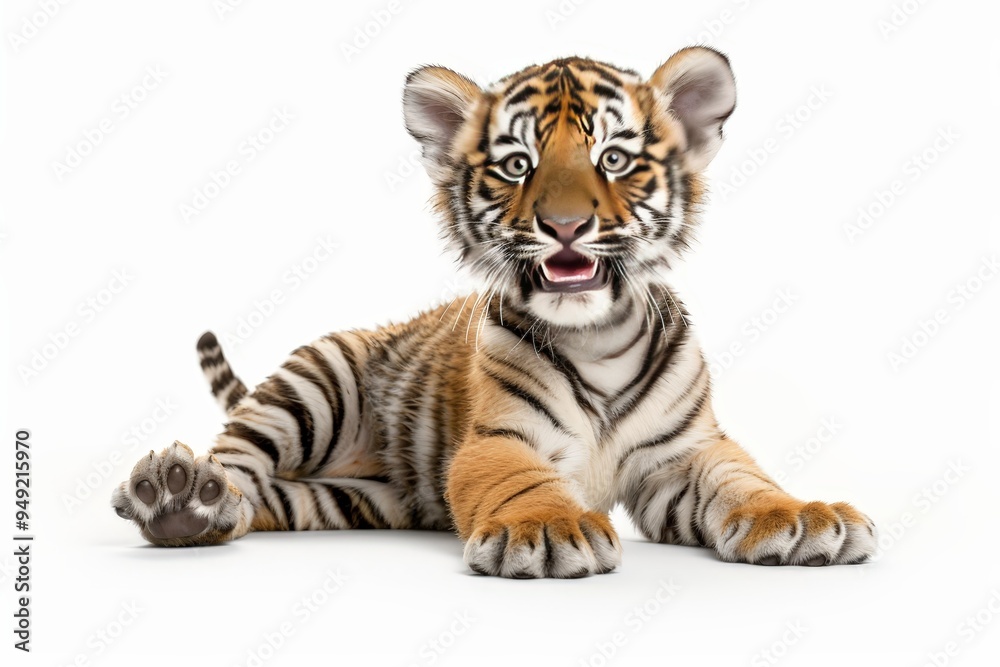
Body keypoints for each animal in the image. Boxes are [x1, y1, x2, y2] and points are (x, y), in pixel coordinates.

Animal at [111, 46, 877, 577]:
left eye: (614, 158)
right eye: (517, 165)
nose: (565, 225)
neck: (597, 336)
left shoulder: (686, 454)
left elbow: (744, 479)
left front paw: (804, 518)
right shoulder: (499, 438)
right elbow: (520, 481)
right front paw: (546, 529)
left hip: (348, 498)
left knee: (262, 500)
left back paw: (192, 511)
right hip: (312, 383)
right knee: (234, 460)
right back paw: (177, 492)